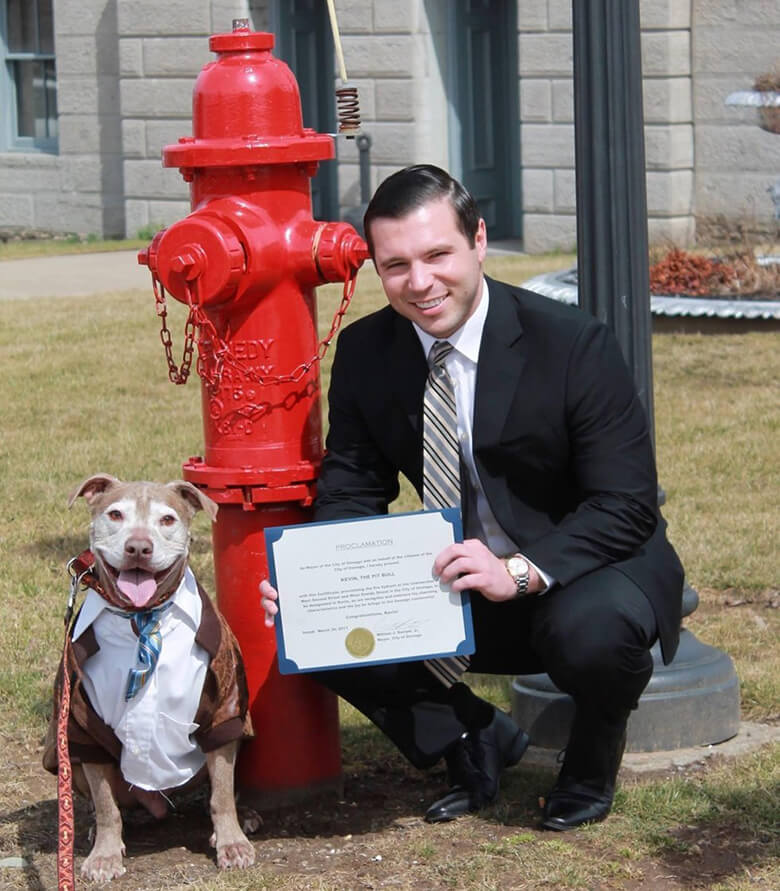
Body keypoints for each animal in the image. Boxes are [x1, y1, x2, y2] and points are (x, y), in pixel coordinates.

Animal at [43, 474, 256, 884]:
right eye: (115, 514)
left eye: (167, 519)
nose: (139, 547)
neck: (141, 615)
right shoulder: (81, 722)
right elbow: (106, 805)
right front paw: (104, 855)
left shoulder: (224, 710)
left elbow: (222, 793)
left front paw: (232, 843)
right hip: (69, 760)